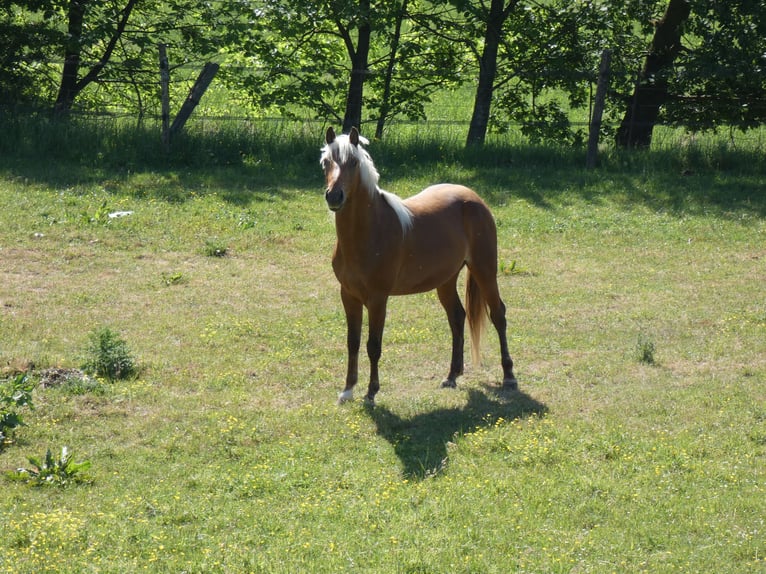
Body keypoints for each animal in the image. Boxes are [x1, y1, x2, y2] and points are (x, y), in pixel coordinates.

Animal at [321, 126, 517, 405]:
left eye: (354, 163)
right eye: (326, 162)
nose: (334, 196)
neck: (370, 232)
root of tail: (474, 198)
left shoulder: (378, 299)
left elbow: (373, 345)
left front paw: (371, 392)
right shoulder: (348, 295)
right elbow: (353, 342)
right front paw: (347, 390)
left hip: (485, 270)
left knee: (498, 314)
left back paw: (509, 376)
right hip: (446, 280)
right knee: (457, 317)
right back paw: (451, 376)